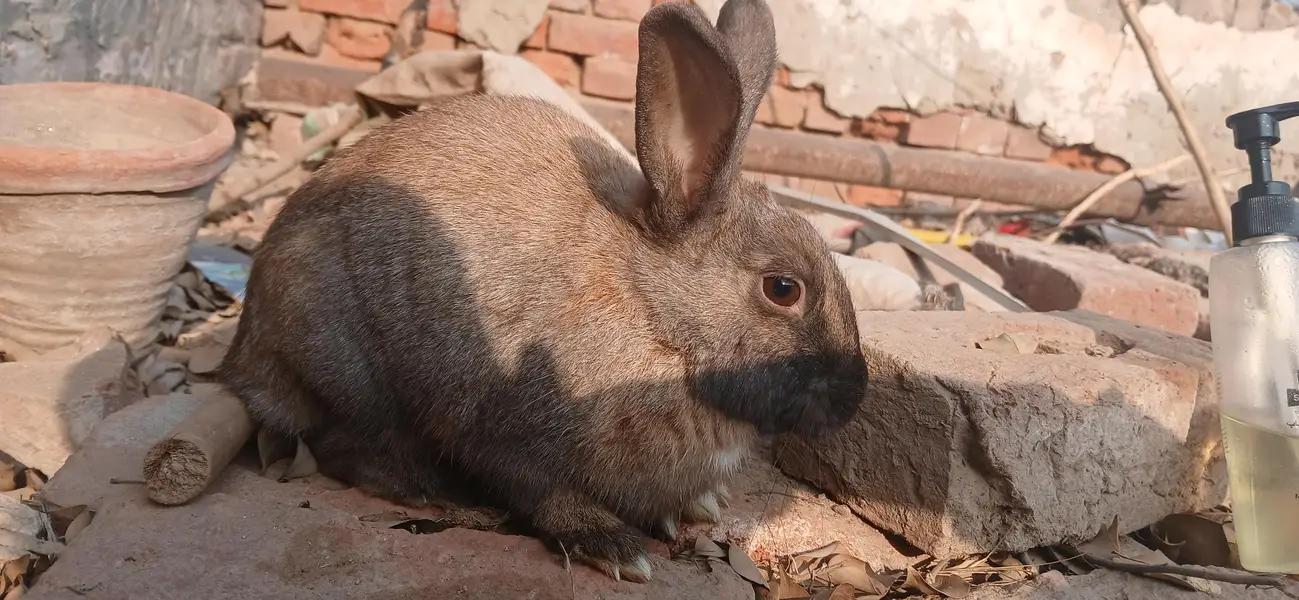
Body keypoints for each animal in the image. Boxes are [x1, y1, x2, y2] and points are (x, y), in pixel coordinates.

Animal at [217, 0, 868, 584]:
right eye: (783, 289)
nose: (852, 397)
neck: (655, 318)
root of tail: (243, 356)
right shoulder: (506, 432)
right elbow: (541, 490)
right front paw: (615, 549)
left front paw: (692, 509)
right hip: (347, 367)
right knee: (345, 446)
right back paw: (446, 497)